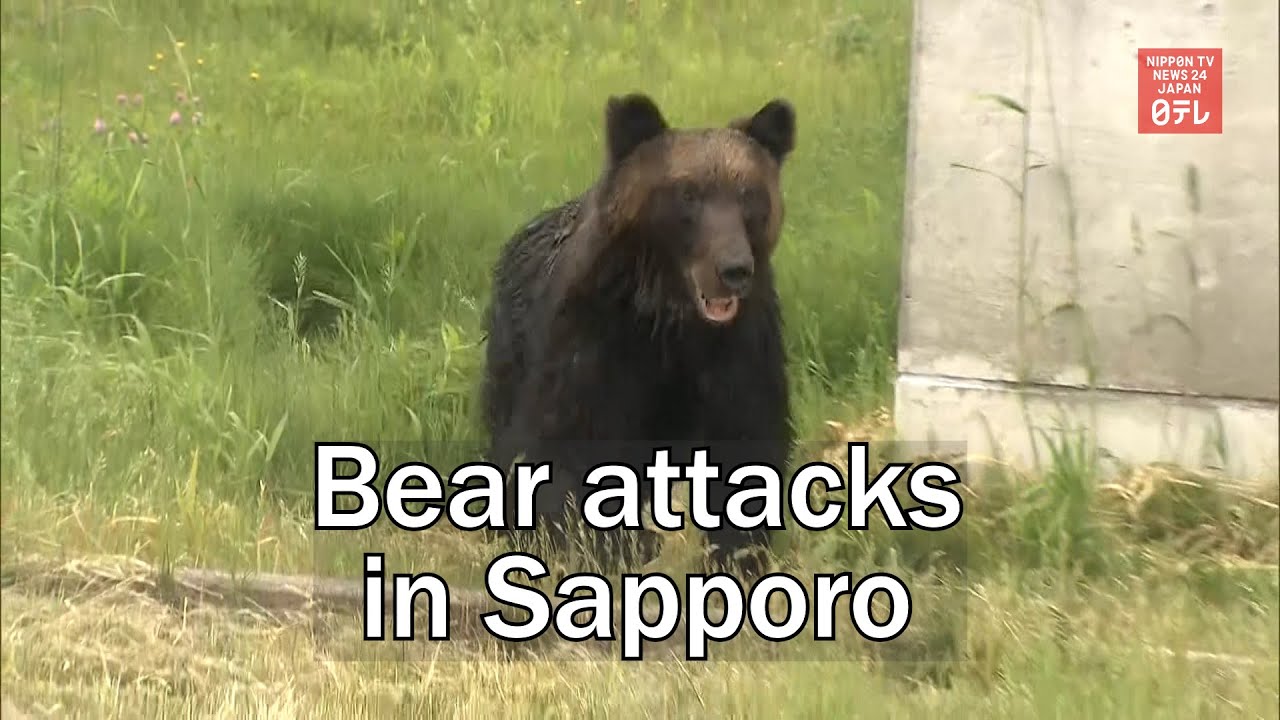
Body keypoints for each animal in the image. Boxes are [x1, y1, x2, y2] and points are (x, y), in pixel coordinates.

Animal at [480, 92, 797, 579]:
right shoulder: (593, 342)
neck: (672, 316)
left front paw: (736, 553)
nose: (733, 270)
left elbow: (744, 444)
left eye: (748, 194)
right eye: (688, 193)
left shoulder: (739, 349)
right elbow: (559, 447)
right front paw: (612, 546)